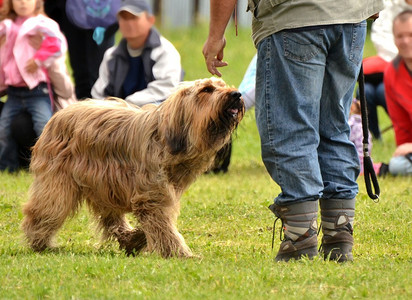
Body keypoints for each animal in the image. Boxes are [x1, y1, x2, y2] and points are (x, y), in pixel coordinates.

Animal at [20, 78, 245, 258]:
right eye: (206, 89)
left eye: (222, 84)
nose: (236, 94)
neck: (164, 137)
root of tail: (58, 114)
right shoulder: (151, 194)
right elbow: (162, 223)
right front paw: (179, 252)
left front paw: (145, 240)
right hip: (60, 180)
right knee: (47, 208)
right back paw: (39, 241)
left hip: (103, 183)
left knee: (111, 217)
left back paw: (131, 239)